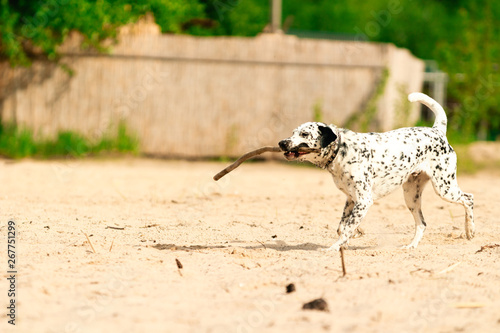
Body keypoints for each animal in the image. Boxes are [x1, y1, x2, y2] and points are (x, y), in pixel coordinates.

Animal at [280, 92, 474, 250]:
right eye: (293, 132)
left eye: (305, 134)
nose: (281, 143)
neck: (343, 150)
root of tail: (437, 131)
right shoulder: (351, 199)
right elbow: (342, 227)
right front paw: (347, 242)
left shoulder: (364, 200)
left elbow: (346, 228)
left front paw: (334, 248)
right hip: (411, 196)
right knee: (422, 223)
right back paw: (411, 246)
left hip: (444, 188)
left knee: (469, 198)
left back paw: (470, 231)